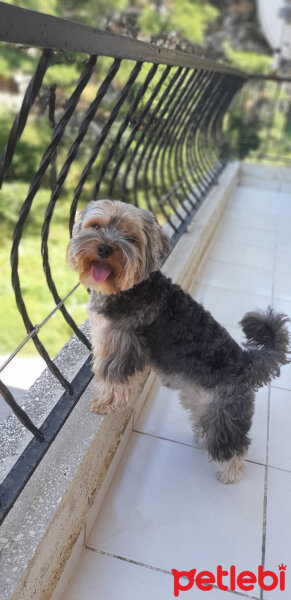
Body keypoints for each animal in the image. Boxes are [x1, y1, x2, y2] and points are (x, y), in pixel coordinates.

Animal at [68, 200, 290, 482]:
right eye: (95, 226)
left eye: (131, 237)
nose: (105, 248)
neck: (128, 288)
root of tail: (245, 362)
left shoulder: (122, 346)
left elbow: (113, 378)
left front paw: (105, 403)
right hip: (200, 400)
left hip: (224, 411)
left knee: (232, 444)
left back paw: (230, 473)